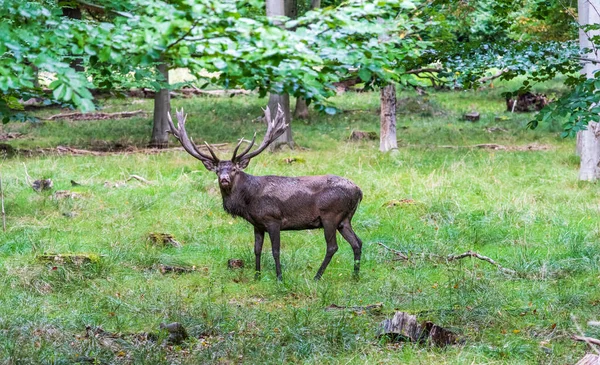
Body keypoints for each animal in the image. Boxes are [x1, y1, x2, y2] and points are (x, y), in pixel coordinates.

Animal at [166, 105, 364, 282]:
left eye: (234, 169)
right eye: (217, 170)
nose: (224, 179)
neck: (248, 203)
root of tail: (359, 191)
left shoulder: (273, 219)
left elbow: (275, 251)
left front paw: (279, 278)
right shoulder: (257, 224)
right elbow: (257, 249)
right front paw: (257, 276)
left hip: (330, 214)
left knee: (332, 247)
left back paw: (317, 277)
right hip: (345, 219)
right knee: (357, 242)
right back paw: (355, 276)